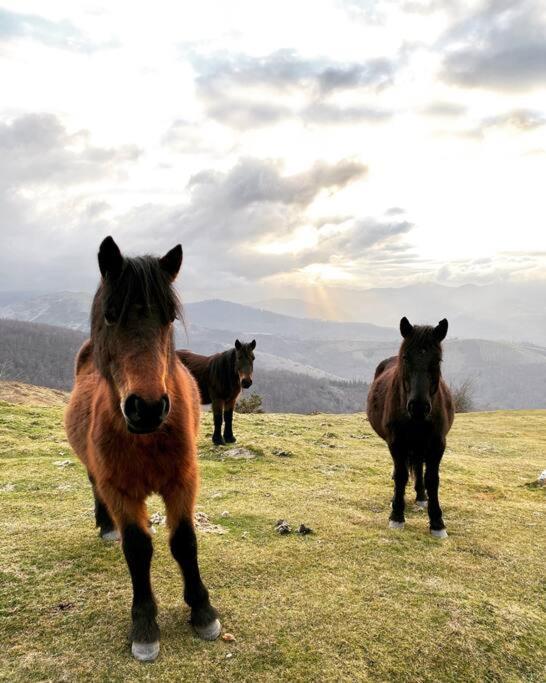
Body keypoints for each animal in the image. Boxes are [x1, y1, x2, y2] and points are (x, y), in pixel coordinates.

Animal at [67, 236, 220, 664]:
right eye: (110, 314)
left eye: (169, 318)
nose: (148, 407)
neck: (148, 438)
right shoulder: (121, 490)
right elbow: (138, 550)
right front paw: (145, 624)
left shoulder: (182, 482)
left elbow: (184, 542)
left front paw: (203, 611)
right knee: (94, 488)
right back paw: (105, 527)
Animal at [368, 318, 452, 536]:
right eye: (406, 357)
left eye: (437, 360)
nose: (419, 407)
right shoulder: (396, 443)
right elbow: (401, 476)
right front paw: (396, 515)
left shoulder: (437, 444)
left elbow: (432, 479)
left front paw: (437, 522)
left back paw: (422, 496)